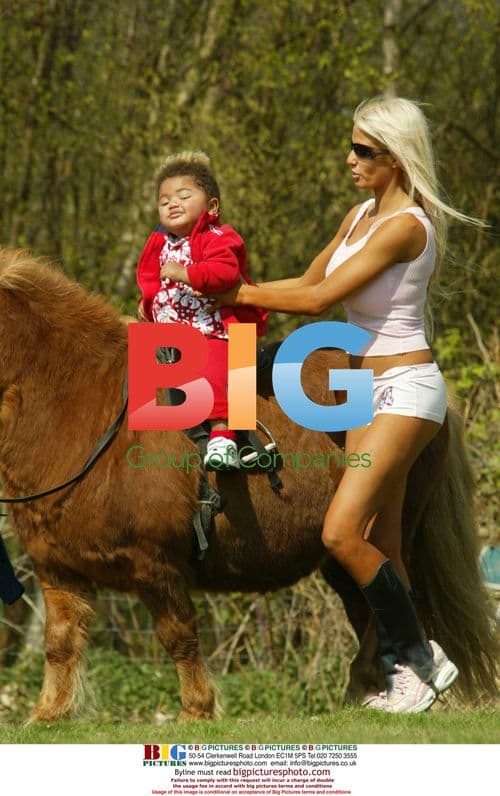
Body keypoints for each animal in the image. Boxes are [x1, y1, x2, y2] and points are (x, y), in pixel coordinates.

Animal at [0, 248, 496, 722]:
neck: (90, 412)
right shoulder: (57, 571)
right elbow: (59, 644)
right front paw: (48, 714)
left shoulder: (156, 564)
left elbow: (178, 635)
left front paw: (196, 709)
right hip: (339, 550)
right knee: (368, 602)